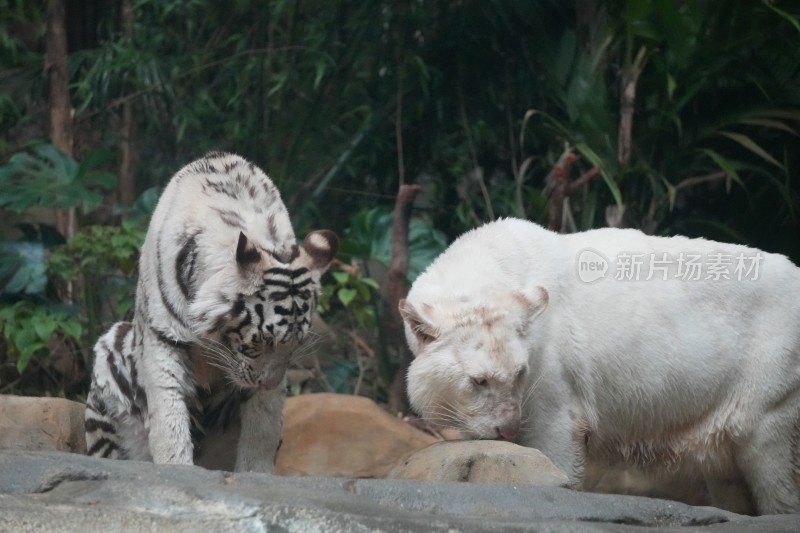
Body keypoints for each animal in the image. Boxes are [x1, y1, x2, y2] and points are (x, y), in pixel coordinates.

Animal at [85, 152, 338, 472]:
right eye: (260, 342)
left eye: (295, 345)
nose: (268, 382)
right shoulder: (161, 337)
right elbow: (168, 414)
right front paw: (175, 466)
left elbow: (264, 426)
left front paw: (255, 472)